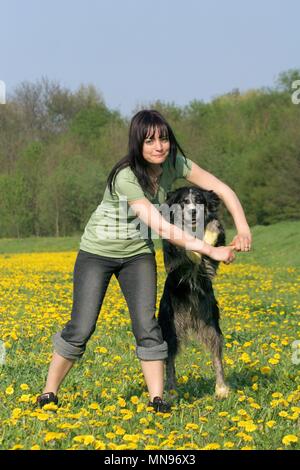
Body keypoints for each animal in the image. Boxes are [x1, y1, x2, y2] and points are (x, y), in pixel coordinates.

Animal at [157, 185, 230, 398]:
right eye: (184, 202)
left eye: (199, 200)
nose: (194, 212)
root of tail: (191, 320)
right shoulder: (174, 260)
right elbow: (179, 241)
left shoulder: (211, 261)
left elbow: (214, 226)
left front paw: (210, 234)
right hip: (170, 328)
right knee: (169, 361)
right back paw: (172, 390)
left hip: (211, 325)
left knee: (217, 357)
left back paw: (221, 389)